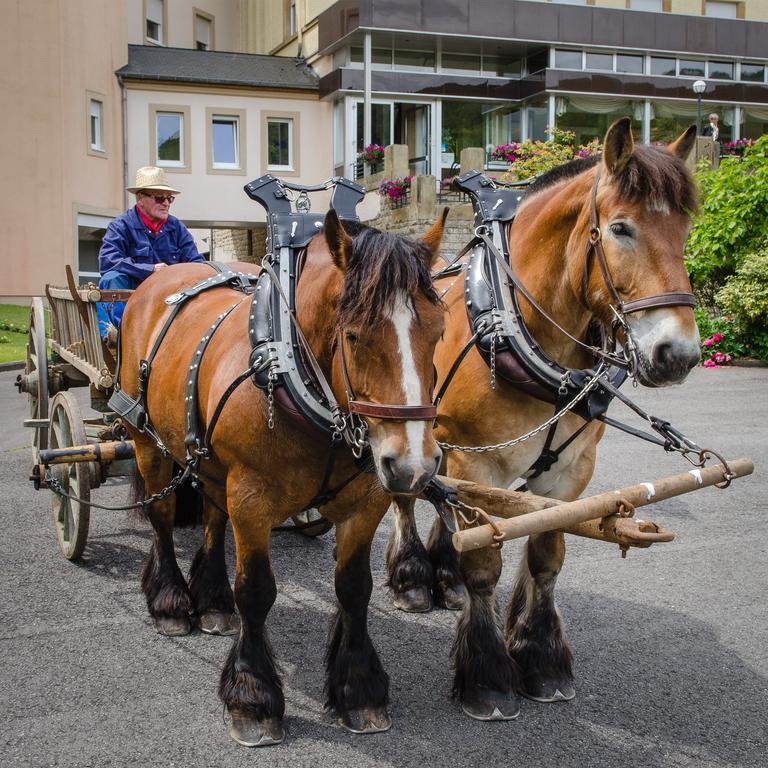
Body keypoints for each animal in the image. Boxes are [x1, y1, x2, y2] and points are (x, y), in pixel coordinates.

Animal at [119, 208, 444, 744]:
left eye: (438, 332)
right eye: (354, 335)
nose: (412, 465)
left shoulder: (366, 499)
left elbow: (354, 587)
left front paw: (359, 688)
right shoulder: (251, 498)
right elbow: (256, 591)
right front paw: (252, 696)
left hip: (210, 463)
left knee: (212, 519)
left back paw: (212, 601)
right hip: (147, 439)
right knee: (162, 517)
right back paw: (170, 601)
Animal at [388, 118, 700, 720]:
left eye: (686, 229)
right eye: (621, 228)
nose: (678, 354)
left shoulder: (569, 471)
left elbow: (545, 553)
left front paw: (540, 656)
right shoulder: (476, 461)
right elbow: (485, 562)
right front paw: (487, 674)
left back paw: (444, 578)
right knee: (408, 499)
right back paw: (413, 579)